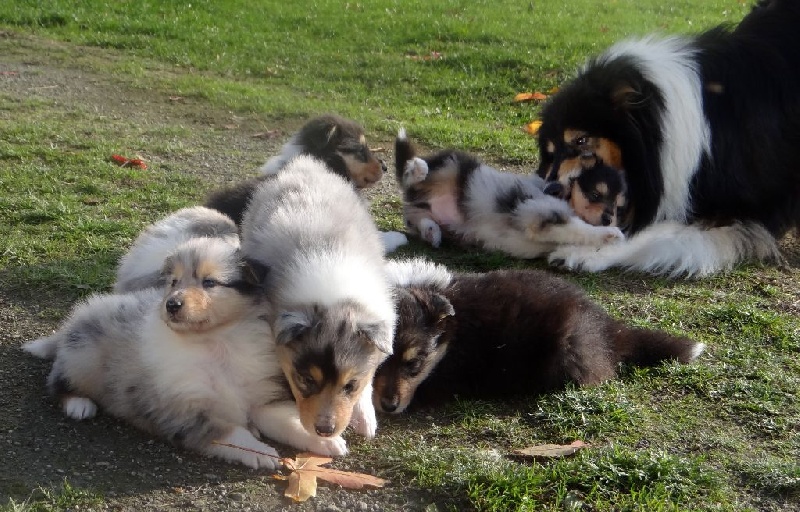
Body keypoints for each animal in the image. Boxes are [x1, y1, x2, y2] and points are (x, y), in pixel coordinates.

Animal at [24, 236, 346, 468]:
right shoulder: (187, 412)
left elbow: (284, 420)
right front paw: (263, 452)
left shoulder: (257, 395)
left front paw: (325, 441)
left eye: (209, 282)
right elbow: (233, 434)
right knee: (56, 381)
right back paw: (79, 404)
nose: (172, 305)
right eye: (174, 282)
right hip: (83, 356)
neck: (214, 342)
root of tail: (76, 320)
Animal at [241, 155, 396, 448]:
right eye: (306, 380)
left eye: (350, 385)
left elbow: (369, 373)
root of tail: (305, 164)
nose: (325, 430)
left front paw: (366, 421)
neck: (334, 298)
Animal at [394, 127, 624, 256]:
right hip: (451, 167)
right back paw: (418, 169)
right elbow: (579, 228)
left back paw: (431, 232)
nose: (608, 219)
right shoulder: (540, 212)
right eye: (595, 194)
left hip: (426, 212)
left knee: (416, 218)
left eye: (617, 205)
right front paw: (612, 234)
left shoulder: (545, 227)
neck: (563, 195)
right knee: (409, 177)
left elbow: (573, 232)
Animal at [536, 0, 800, 278]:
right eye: (551, 153)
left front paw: (582, 251)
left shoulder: (747, 209)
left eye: (580, 140)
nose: (548, 189)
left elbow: (648, 233)